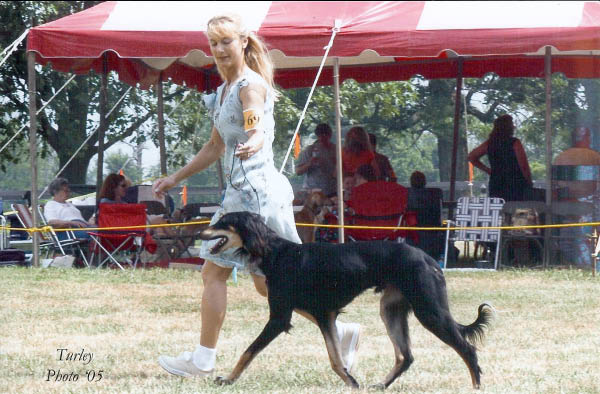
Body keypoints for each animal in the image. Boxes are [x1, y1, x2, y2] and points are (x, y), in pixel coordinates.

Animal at [198, 211, 492, 390]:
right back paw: (382, 385)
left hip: (429, 310)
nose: (201, 233)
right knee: (405, 355)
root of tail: (429, 259)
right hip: (391, 309)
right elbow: (336, 359)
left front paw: (228, 379)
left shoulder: (280, 318)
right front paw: (352, 383)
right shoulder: (323, 313)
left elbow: (248, 351)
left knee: (467, 349)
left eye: (223, 221)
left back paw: (476, 386)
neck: (276, 252)